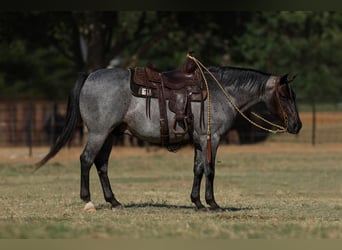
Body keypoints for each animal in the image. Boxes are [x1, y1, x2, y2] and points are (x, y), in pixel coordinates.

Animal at [36, 61, 300, 211]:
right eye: (285, 95)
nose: (297, 125)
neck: (220, 92)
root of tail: (89, 76)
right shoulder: (211, 138)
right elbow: (211, 170)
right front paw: (213, 203)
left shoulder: (199, 141)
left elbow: (198, 169)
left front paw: (197, 202)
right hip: (99, 133)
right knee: (86, 160)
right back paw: (88, 201)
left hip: (110, 135)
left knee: (101, 164)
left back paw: (114, 201)